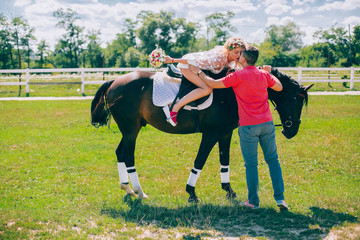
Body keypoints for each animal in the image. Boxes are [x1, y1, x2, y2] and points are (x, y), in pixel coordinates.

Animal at [90, 67, 312, 202]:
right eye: (295, 100)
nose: (291, 130)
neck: (230, 91)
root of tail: (115, 81)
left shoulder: (225, 134)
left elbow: (224, 161)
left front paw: (229, 191)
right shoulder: (211, 134)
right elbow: (200, 161)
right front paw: (191, 193)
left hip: (129, 130)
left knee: (120, 152)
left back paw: (127, 188)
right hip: (131, 130)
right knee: (128, 156)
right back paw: (139, 191)